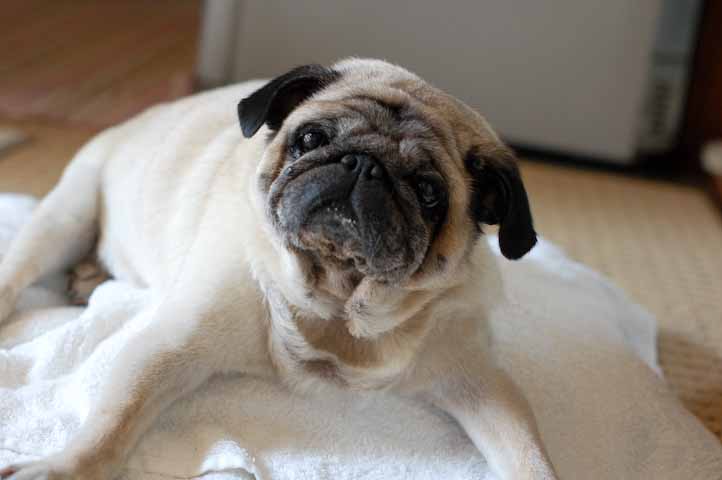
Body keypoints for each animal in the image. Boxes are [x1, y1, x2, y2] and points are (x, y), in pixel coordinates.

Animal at [0, 58, 557, 479]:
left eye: (429, 193)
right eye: (310, 138)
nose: (363, 164)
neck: (338, 302)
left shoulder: (481, 382)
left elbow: (529, 455)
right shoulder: (168, 347)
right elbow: (114, 420)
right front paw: (63, 468)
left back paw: (89, 277)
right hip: (66, 214)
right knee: (20, 269)